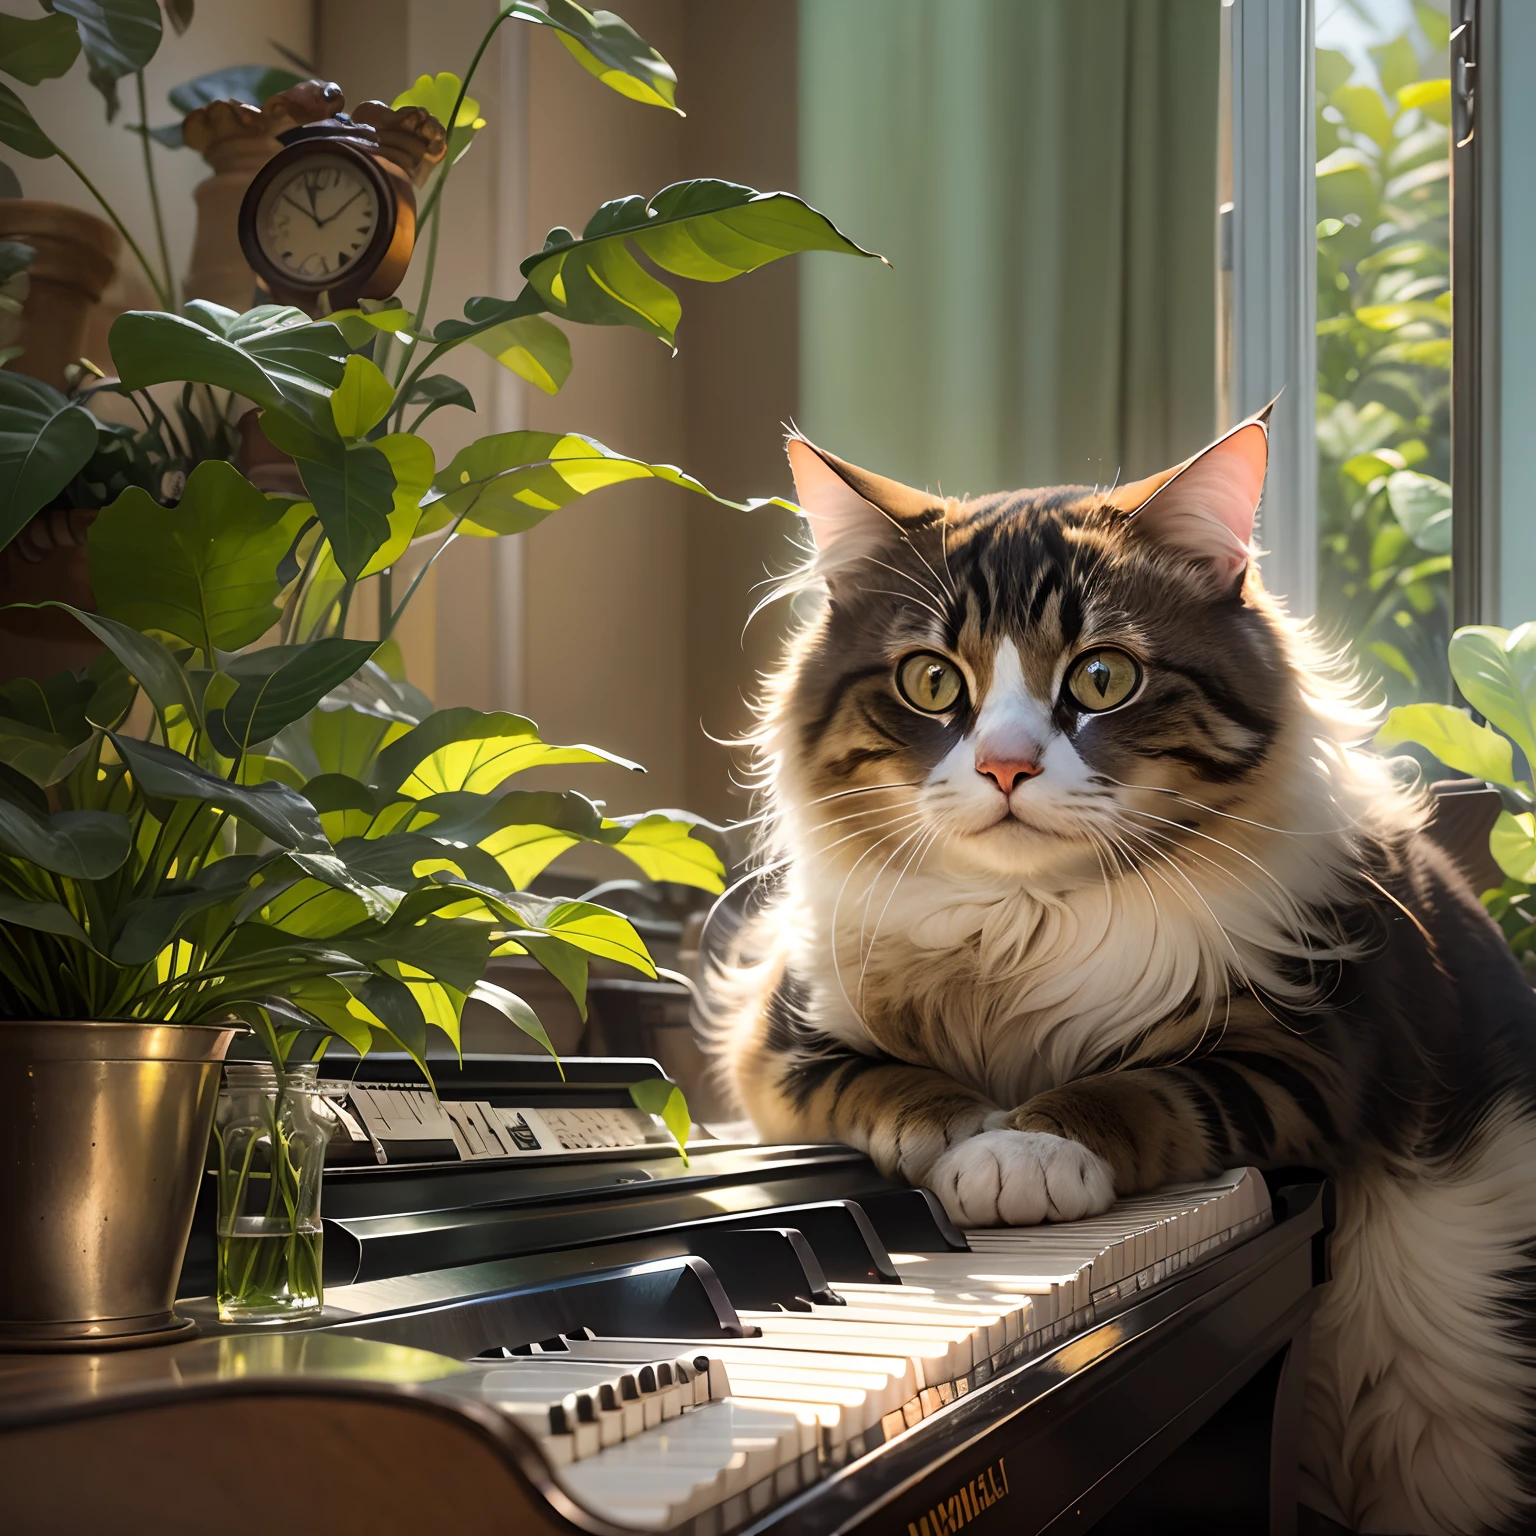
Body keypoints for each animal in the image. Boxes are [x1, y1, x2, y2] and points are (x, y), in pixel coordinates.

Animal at [712, 417, 1536, 1536]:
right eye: (933, 682)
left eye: (1102, 679)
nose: (1005, 767)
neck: (1026, 925)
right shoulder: (783, 1043)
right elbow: (888, 1081)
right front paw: (969, 1134)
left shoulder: (1301, 1049)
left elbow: (1139, 1086)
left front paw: (1022, 1154)